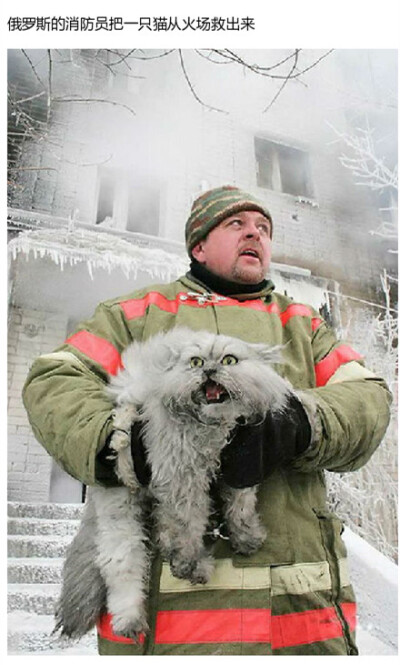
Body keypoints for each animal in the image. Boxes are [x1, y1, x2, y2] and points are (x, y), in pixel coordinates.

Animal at [55, 326, 294, 640]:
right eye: (196, 362)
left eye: (229, 361)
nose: (209, 371)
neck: (211, 430)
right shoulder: (182, 478)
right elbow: (189, 528)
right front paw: (189, 563)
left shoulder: (244, 465)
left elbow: (239, 508)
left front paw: (246, 537)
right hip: (122, 511)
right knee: (121, 564)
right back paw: (129, 620)